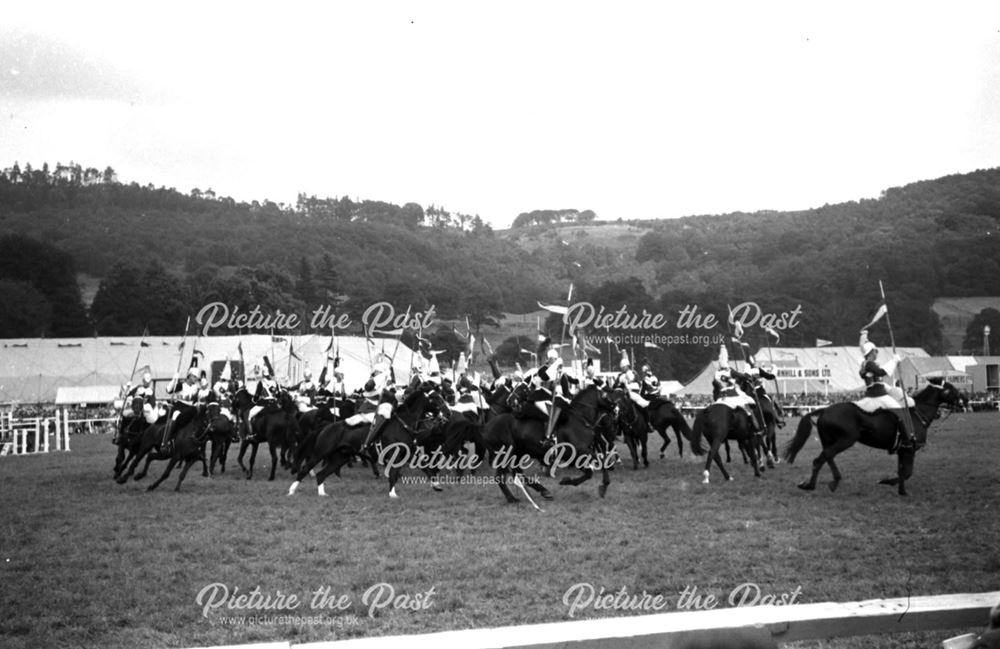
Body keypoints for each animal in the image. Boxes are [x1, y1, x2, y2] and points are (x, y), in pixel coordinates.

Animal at [780, 380, 960, 496]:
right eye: (951, 389)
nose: (962, 401)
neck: (917, 413)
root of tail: (825, 410)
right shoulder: (910, 449)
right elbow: (907, 472)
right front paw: (888, 482)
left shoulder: (902, 451)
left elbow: (903, 471)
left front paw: (901, 491)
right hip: (845, 440)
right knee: (821, 459)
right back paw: (812, 485)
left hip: (831, 441)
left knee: (827, 457)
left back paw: (831, 481)